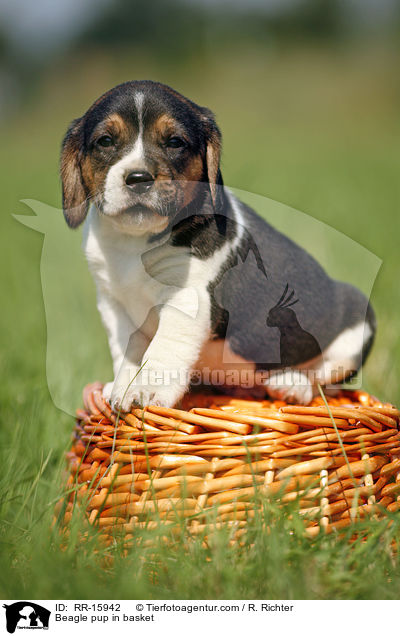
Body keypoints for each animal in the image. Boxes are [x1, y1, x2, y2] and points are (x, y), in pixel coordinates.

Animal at [60, 79, 376, 410]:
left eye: (174, 142)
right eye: (106, 141)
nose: (138, 178)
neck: (134, 240)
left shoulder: (187, 297)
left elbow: (162, 348)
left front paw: (145, 389)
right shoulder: (113, 303)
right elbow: (126, 349)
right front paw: (120, 386)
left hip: (357, 325)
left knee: (323, 383)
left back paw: (292, 384)